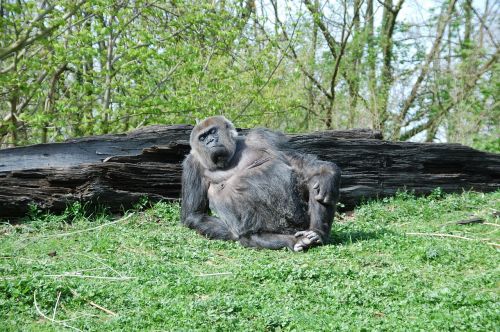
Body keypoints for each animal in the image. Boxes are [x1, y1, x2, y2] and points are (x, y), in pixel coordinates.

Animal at [182, 115, 342, 250]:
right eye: (202, 137)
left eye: (213, 131)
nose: (210, 141)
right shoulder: (192, 165)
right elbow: (195, 214)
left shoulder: (262, 137)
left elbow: (298, 164)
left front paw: (328, 173)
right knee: (250, 235)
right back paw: (289, 240)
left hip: (303, 221)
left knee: (315, 182)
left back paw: (317, 232)